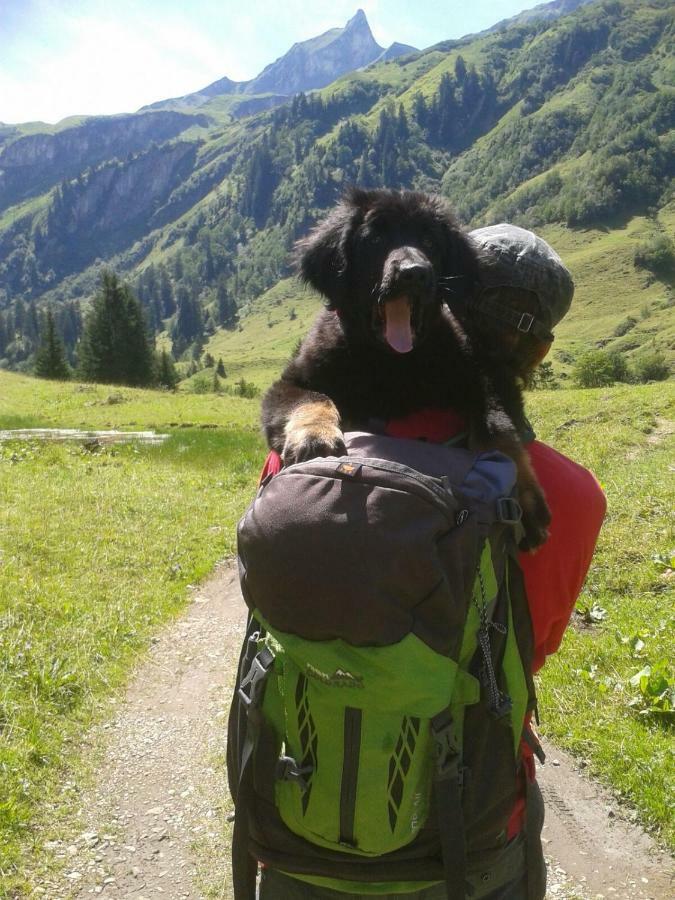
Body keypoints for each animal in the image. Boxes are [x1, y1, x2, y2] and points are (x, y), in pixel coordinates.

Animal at [262, 188, 552, 548]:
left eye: (429, 240)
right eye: (375, 238)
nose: (415, 272)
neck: (390, 362)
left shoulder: (480, 375)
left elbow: (498, 429)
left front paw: (526, 499)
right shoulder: (292, 380)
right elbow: (311, 399)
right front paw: (315, 435)